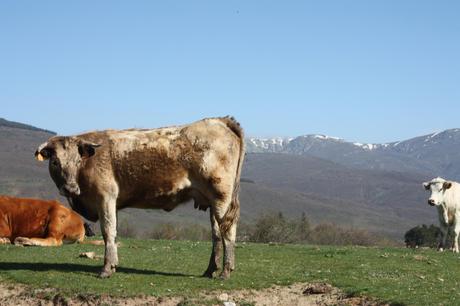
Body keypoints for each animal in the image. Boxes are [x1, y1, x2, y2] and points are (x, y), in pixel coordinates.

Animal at [35, 117, 244, 280]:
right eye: (55, 162)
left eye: (78, 161)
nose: (70, 187)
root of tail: (220, 120)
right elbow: (114, 232)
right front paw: (113, 264)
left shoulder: (105, 198)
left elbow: (108, 231)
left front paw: (106, 269)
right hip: (212, 201)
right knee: (216, 234)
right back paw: (210, 270)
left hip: (221, 197)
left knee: (227, 231)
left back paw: (225, 271)